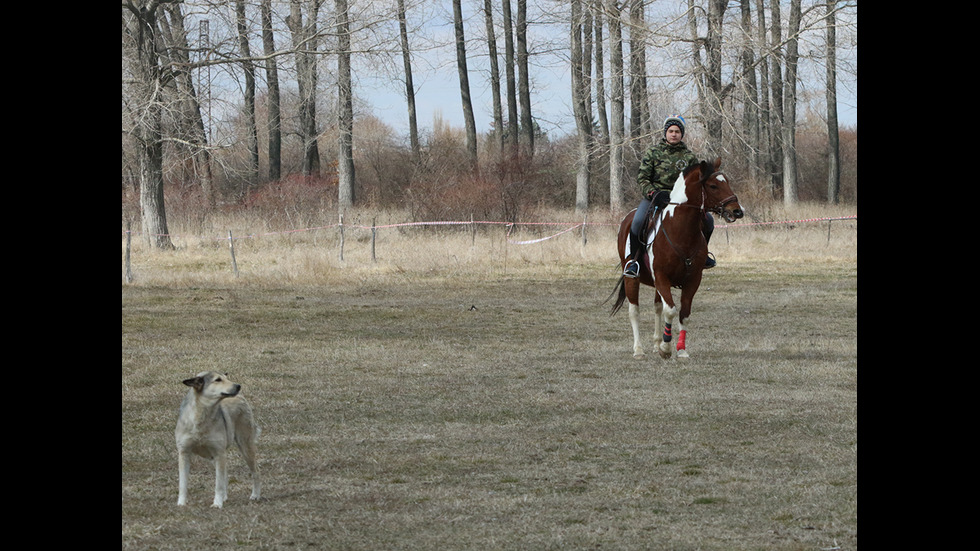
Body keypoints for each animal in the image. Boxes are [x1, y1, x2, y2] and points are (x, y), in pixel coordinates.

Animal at [175, 370, 260, 508]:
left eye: (225, 378)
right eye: (218, 380)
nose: (238, 386)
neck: (201, 416)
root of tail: (240, 397)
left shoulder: (219, 452)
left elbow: (218, 484)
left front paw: (217, 504)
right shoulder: (184, 453)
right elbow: (183, 483)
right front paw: (181, 504)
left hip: (245, 446)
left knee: (256, 472)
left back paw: (255, 495)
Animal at [612, 156, 744, 362]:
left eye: (727, 182)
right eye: (713, 185)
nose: (737, 211)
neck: (681, 230)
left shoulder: (693, 279)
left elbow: (684, 313)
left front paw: (680, 349)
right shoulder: (662, 277)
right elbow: (671, 310)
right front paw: (666, 348)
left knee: (657, 307)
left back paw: (656, 343)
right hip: (631, 278)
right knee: (635, 311)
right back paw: (639, 350)